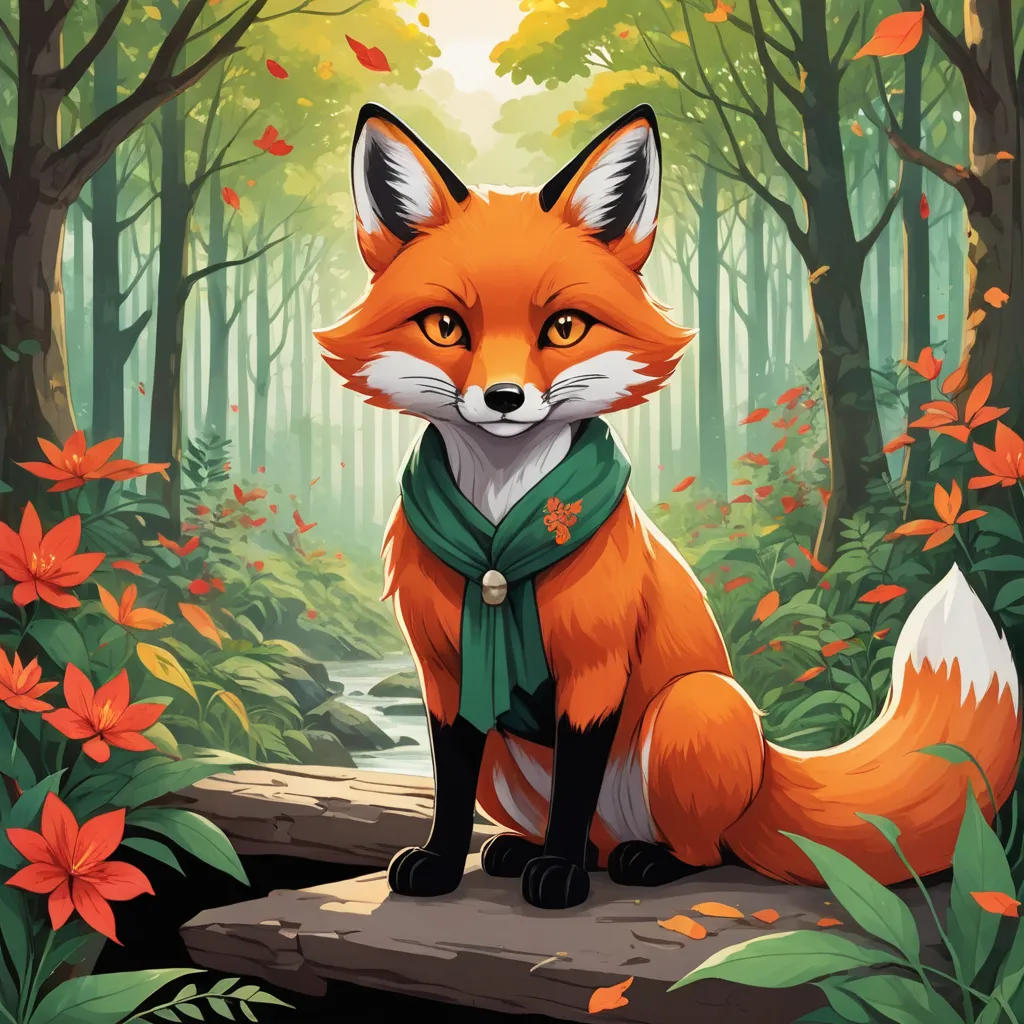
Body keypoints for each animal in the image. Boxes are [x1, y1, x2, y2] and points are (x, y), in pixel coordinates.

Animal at [315, 102, 1022, 910]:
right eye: (445, 327)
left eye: (563, 327)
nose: (503, 398)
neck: (500, 544)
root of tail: (769, 764)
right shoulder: (446, 675)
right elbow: (450, 786)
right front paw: (439, 863)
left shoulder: (595, 672)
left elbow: (576, 786)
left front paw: (557, 878)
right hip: (511, 754)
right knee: (584, 831)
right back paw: (518, 850)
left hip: (695, 707)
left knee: (700, 851)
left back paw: (637, 861)